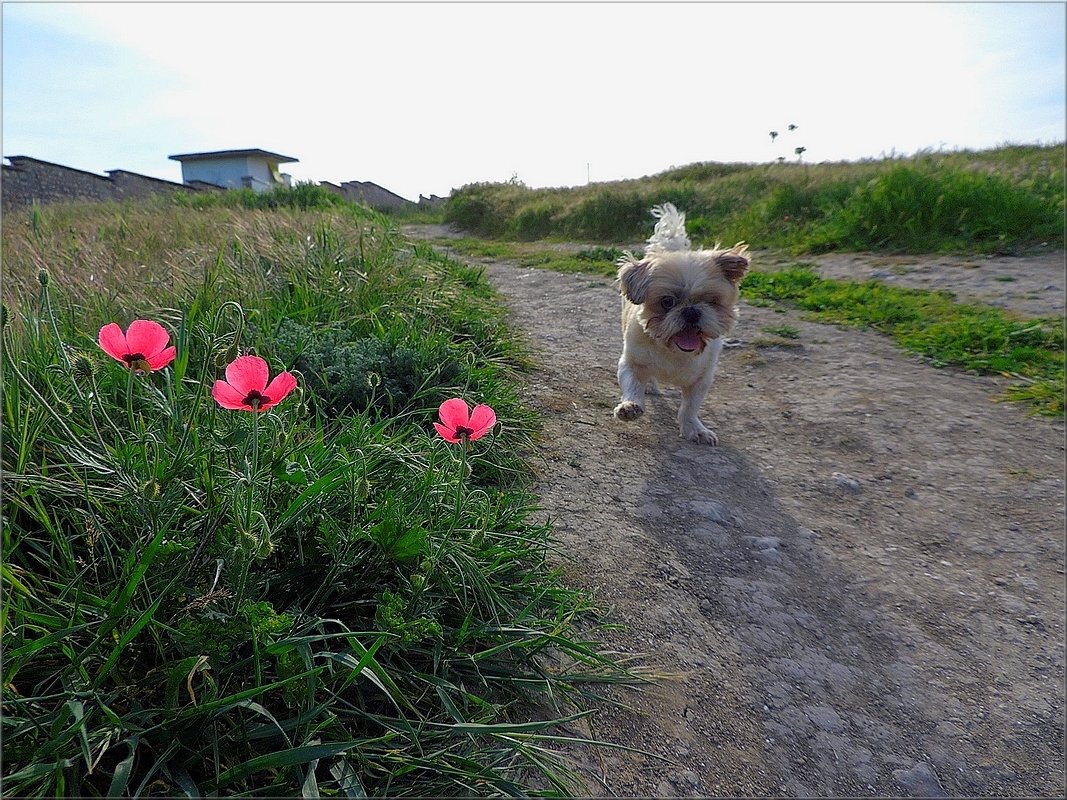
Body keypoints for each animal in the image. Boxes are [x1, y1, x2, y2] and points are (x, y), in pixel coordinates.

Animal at [614, 204, 755, 445]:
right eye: (667, 302)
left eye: (711, 301)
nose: (691, 311)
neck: (673, 352)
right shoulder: (630, 363)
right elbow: (632, 385)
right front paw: (630, 406)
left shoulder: (701, 379)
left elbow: (689, 408)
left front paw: (694, 429)